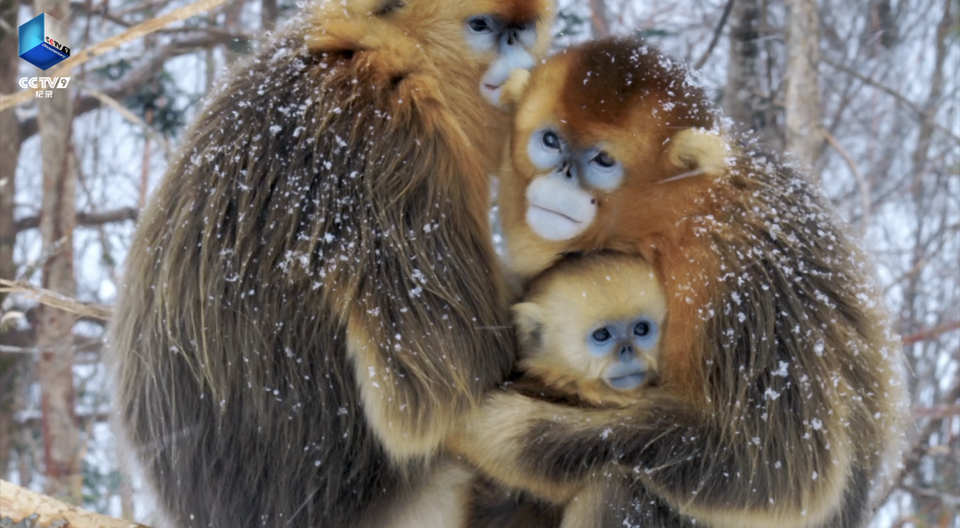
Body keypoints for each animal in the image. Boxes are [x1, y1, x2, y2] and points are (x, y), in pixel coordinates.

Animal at [450, 39, 908, 524]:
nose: (562, 176)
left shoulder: (737, 277)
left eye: (603, 160)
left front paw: (491, 428)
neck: (676, 219)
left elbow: (777, 472)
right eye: (551, 141)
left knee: (620, 481)